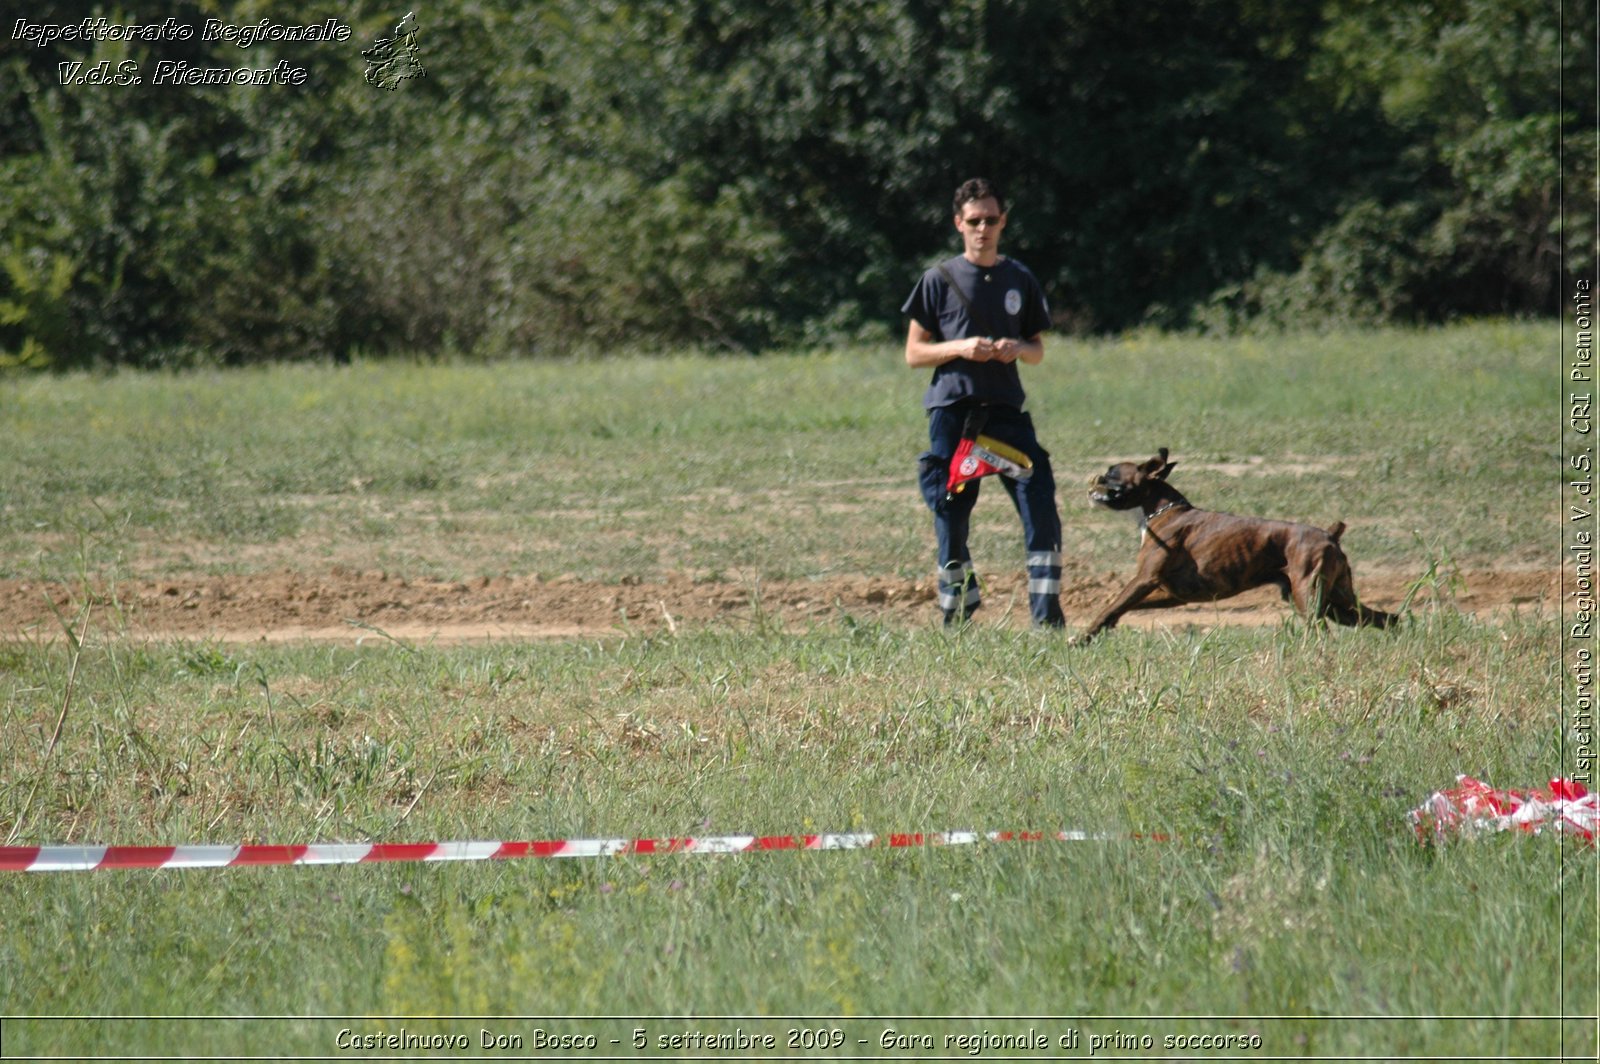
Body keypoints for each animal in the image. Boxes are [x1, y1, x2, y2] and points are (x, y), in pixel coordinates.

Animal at [1075, 444, 1401, 640]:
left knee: (1321, 631)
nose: (1096, 478)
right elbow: (1119, 607)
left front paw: (1082, 637)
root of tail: (1329, 534)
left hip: (1310, 596)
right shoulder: (1170, 593)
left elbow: (1109, 605)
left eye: (1112, 472)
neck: (1161, 510)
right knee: (1385, 618)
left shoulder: (1144, 579)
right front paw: (1102, 630)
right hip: (1338, 600)